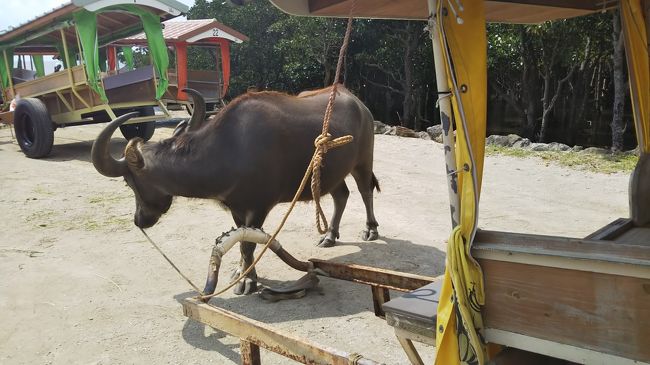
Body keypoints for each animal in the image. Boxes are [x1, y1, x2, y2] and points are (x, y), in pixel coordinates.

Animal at [88, 86, 378, 294]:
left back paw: (370, 229)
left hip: (363, 161)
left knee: (365, 191)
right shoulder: (237, 209)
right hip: (334, 171)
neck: (228, 149)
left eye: (128, 182)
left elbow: (249, 244)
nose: (139, 220)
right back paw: (329, 235)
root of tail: (360, 104)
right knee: (341, 195)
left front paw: (248, 281)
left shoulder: (259, 207)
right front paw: (241, 272)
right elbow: (240, 243)